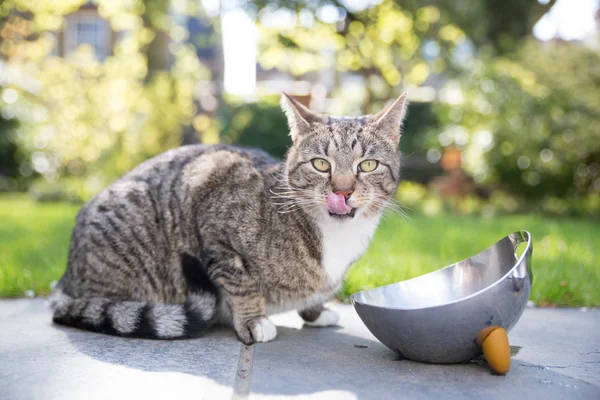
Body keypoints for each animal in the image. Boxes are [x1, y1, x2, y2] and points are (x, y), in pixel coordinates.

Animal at [49, 93, 410, 344]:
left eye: (368, 165)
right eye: (321, 164)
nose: (343, 190)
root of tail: (64, 280)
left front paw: (316, 313)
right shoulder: (213, 194)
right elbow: (239, 282)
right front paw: (254, 321)